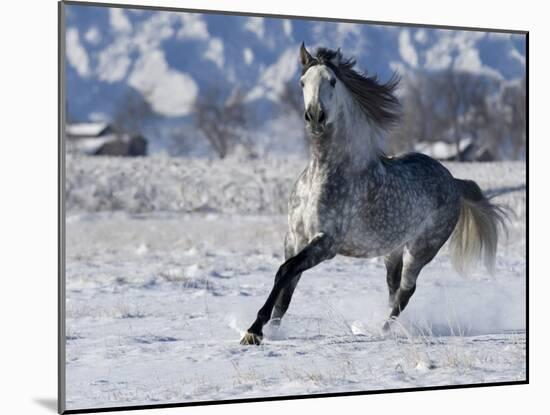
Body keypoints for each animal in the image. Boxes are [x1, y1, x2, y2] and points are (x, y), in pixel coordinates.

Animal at [242, 44, 508, 346]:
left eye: (332, 81)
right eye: (302, 82)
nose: (315, 117)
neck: (325, 173)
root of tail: (453, 181)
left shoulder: (326, 243)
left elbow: (285, 271)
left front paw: (254, 331)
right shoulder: (294, 238)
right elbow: (286, 287)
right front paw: (271, 330)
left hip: (422, 249)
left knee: (406, 291)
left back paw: (381, 330)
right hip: (393, 249)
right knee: (393, 288)